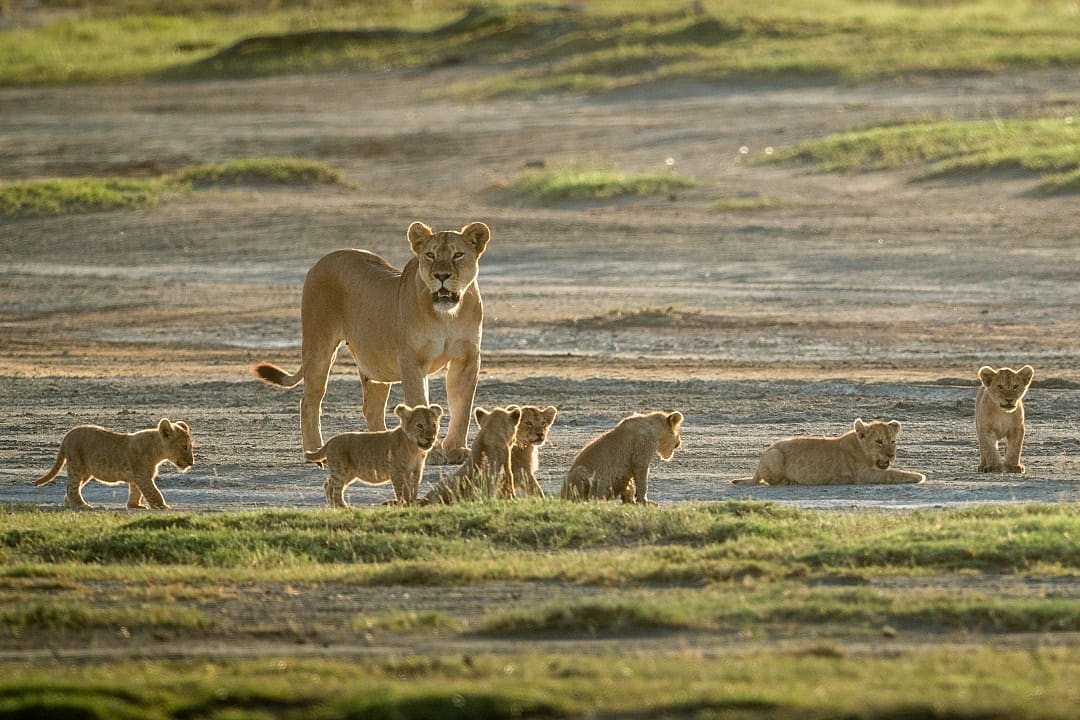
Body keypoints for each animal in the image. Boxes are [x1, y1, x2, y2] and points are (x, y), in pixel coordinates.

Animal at [33, 419, 194, 509]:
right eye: (185, 447)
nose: (191, 463)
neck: (157, 450)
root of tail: (67, 435)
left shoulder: (137, 477)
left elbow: (136, 492)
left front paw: (135, 506)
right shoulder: (143, 476)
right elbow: (154, 492)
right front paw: (162, 506)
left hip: (85, 471)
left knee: (71, 488)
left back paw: (70, 503)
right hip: (76, 465)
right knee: (72, 487)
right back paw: (82, 505)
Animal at [253, 220, 490, 466]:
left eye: (458, 255)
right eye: (430, 255)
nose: (441, 275)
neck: (447, 315)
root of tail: (323, 259)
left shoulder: (467, 359)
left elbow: (462, 408)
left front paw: (457, 450)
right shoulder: (412, 360)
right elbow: (420, 402)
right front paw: (432, 453)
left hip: (376, 365)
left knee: (372, 409)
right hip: (318, 346)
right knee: (309, 402)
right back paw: (315, 453)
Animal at [304, 403, 442, 507]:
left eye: (433, 425)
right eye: (420, 425)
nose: (430, 438)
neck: (415, 449)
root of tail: (331, 440)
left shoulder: (416, 471)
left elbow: (413, 489)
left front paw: (413, 503)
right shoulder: (397, 472)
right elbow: (403, 490)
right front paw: (406, 505)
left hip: (350, 472)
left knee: (329, 484)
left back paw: (335, 507)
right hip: (341, 469)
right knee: (334, 487)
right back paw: (343, 507)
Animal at [734, 418, 925, 486]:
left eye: (893, 442)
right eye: (879, 442)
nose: (891, 455)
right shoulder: (865, 475)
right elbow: (893, 474)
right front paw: (918, 476)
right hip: (775, 455)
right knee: (772, 481)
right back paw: (790, 482)